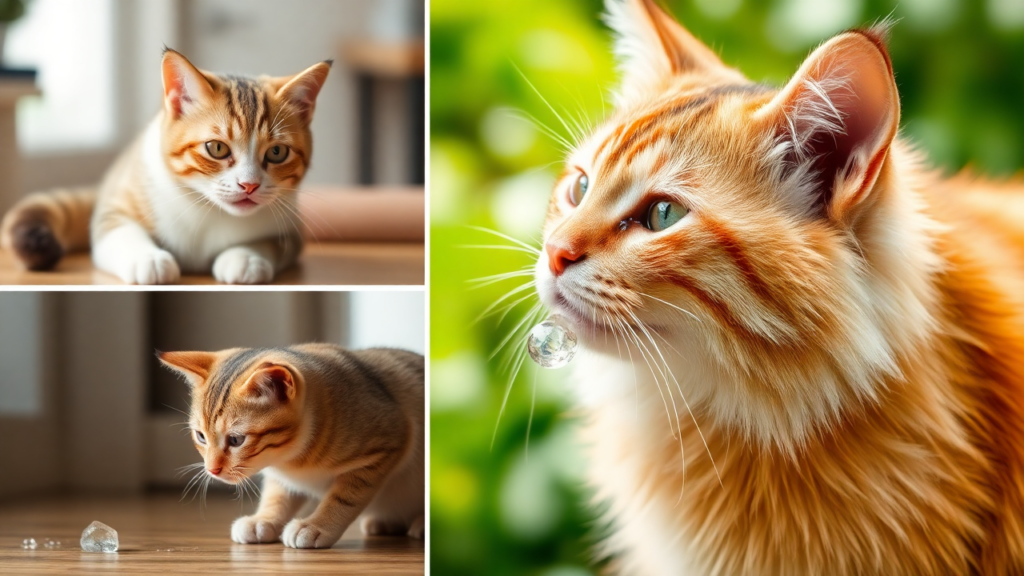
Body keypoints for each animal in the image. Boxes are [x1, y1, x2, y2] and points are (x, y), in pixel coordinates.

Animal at [0, 47, 329, 282]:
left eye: (277, 153)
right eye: (217, 148)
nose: (249, 185)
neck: (209, 210)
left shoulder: (291, 227)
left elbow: (272, 243)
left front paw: (246, 257)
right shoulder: (113, 209)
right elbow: (120, 230)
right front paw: (148, 259)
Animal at [161, 342, 425, 545]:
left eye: (236, 439)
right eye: (201, 436)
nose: (212, 470)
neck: (291, 459)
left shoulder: (389, 442)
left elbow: (344, 497)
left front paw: (317, 525)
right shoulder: (281, 475)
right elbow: (277, 495)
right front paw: (264, 520)